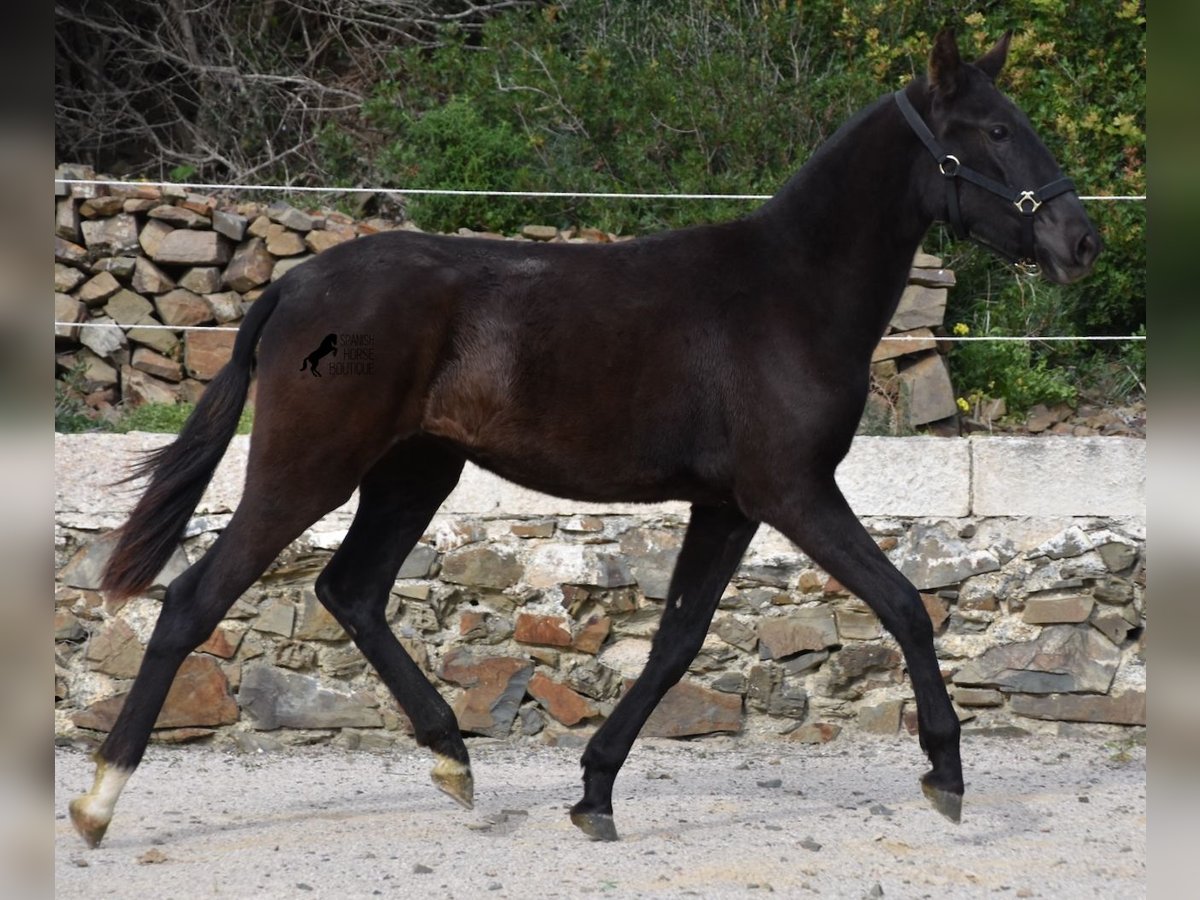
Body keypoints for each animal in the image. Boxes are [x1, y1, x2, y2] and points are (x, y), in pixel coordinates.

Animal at [72, 26, 1099, 844]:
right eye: (994, 130)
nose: (1080, 243)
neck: (789, 295)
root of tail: (290, 286)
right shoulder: (794, 491)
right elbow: (903, 605)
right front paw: (946, 778)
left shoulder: (728, 505)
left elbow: (678, 638)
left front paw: (595, 792)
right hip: (310, 467)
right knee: (195, 600)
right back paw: (97, 803)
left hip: (415, 471)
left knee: (350, 591)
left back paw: (453, 760)